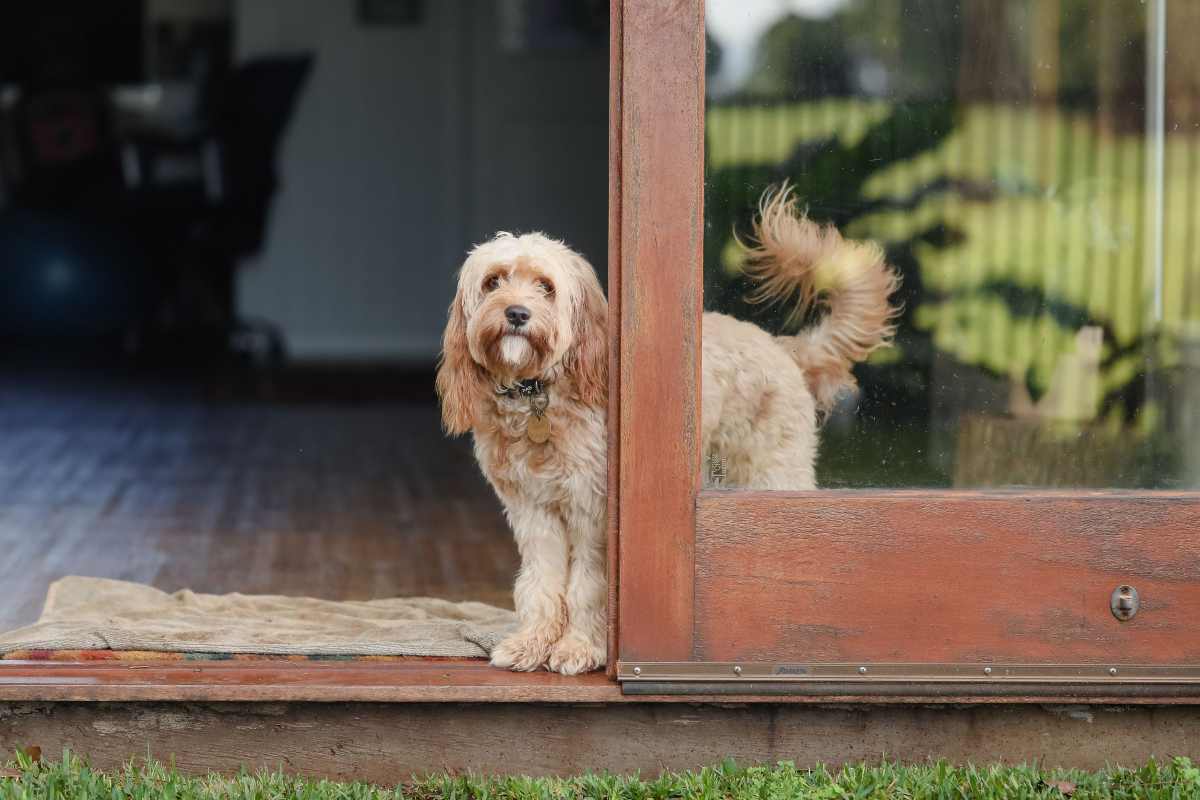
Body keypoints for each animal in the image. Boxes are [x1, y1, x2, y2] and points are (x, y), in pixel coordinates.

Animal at [436, 183, 897, 676]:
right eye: (493, 281)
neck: (539, 393)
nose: (517, 313)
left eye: (546, 286)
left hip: (773, 475)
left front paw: (579, 647)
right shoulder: (533, 511)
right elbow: (541, 583)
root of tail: (780, 345)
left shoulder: (593, 510)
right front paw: (532, 643)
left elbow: (587, 586)